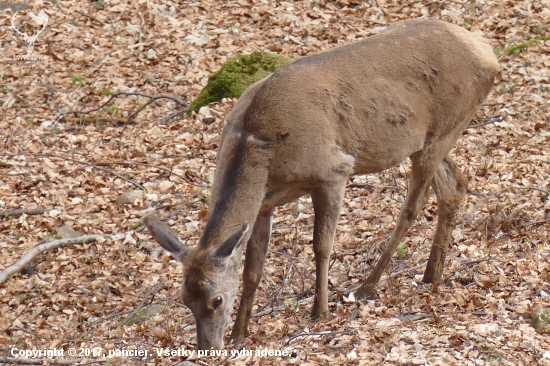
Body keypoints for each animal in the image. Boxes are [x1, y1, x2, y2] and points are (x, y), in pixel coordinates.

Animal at [141, 18, 500, 350]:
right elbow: (252, 271)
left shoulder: (332, 171)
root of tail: (488, 52)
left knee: (413, 206)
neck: (262, 148)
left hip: (444, 127)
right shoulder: (264, 205)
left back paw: (368, 285)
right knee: (455, 185)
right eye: (185, 299)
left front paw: (320, 311)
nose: (207, 346)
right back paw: (431, 274)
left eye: (215, 300)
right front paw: (240, 334)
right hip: (430, 140)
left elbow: (321, 246)